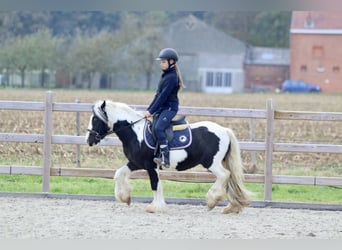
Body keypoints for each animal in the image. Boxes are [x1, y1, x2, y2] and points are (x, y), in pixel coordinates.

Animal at [85, 99, 251, 213]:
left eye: (95, 119)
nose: (89, 139)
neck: (135, 132)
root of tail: (224, 130)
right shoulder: (135, 163)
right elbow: (119, 174)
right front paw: (125, 197)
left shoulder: (150, 165)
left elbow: (155, 184)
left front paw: (155, 207)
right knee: (229, 179)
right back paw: (231, 207)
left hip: (212, 163)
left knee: (224, 175)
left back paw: (212, 200)